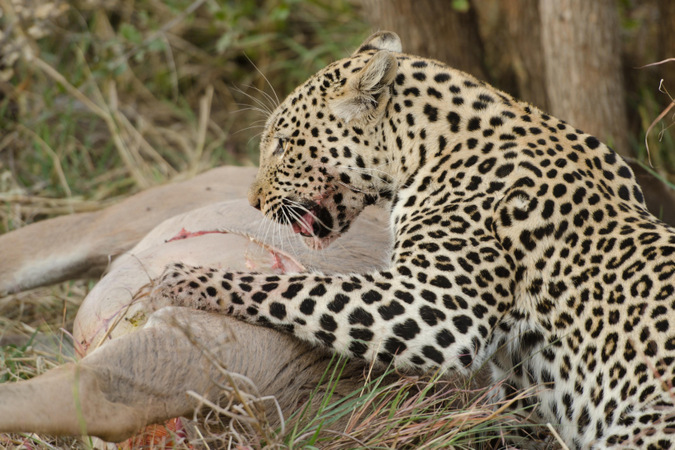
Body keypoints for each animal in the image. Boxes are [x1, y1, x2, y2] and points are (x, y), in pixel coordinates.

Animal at [151, 32, 675, 450]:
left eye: (281, 144)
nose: (253, 200)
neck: (428, 147)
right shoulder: (516, 387)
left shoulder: (439, 306)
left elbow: (300, 290)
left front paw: (182, 279)